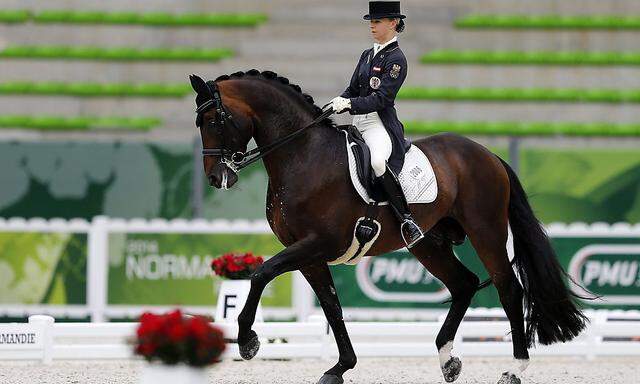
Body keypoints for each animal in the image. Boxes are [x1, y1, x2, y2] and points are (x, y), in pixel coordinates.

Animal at [188, 70, 588, 384]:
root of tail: (488, 154)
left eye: (216, 121)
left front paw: (247, 341)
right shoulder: (309, 254)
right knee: (464, 284)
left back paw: (514, 370)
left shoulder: (317, 243)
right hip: (427, 243)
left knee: (508, 290)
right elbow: (331, 306)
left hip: (486, 231)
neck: (303, 156)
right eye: (199, 123)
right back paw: (448, 360)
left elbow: (260, 274)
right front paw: (340, 367)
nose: (216, 178)